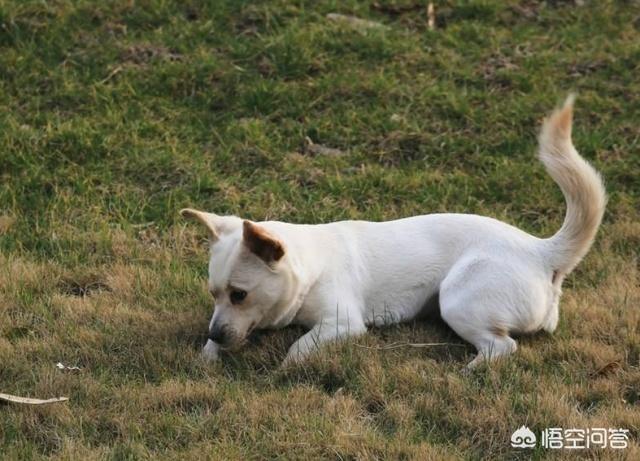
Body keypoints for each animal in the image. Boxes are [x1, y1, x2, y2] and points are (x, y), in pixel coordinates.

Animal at [181, 96, 604, 366]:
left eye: (239, 294)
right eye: (214, 294)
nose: (214, 333)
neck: (310, 264)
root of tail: (541, 250)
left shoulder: (342, 324)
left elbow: (298, 348)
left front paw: (286, 366)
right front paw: (207, 357)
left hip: (457, 299)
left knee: (501, 348)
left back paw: (468, 370)